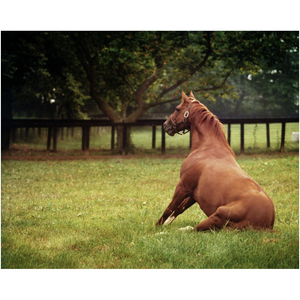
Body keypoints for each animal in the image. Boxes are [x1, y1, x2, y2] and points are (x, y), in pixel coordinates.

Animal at [156, 90, 276, 231]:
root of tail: (268, 224)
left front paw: (157, 227)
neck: (207, 148)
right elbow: (179, 209)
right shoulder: (193, 193)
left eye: (177, 109)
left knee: (194, 229)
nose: (165, 125)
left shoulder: (183, 186)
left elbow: (169, 208)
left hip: (219, 213)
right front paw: (167, 224)